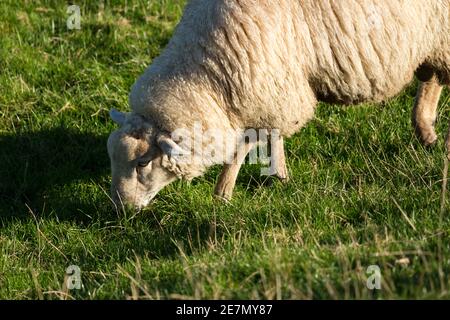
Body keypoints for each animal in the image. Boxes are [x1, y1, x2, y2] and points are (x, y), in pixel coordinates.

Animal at [107, 0, 448, 209]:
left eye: (142, 163)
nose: (121, 209)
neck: (205, 74)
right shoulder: (270, 92)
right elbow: (273, 135)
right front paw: (280, 176)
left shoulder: (264, 92)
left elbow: (243, 145)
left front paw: (222, 194)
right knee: (432, 79)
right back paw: (425, 132)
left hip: (440, 37)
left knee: (434, 80)